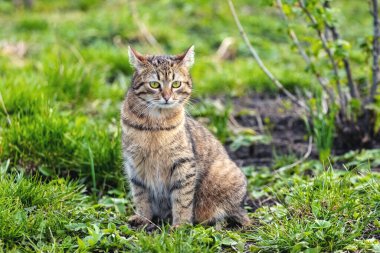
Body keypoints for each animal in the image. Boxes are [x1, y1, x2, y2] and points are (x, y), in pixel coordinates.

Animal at [119, 45, 249, 227]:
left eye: (176, 84)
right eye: (154, 84)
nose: (167, 97)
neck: (154, 124)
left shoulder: (183, 163)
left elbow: (182, 198)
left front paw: (180, 225)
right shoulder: (134, 165)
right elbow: (140, 196)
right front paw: (143, 218)